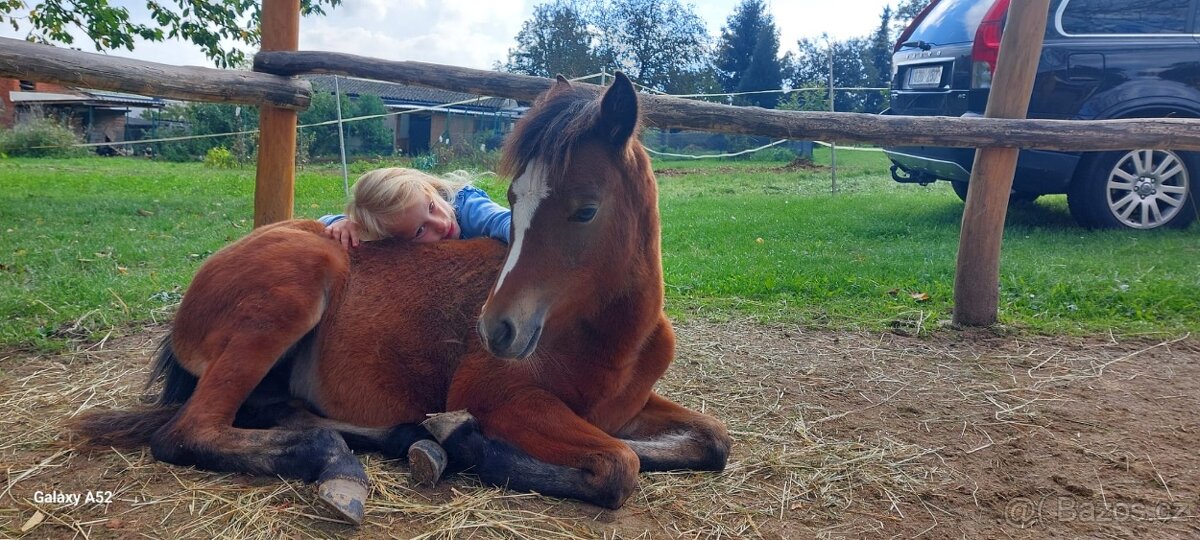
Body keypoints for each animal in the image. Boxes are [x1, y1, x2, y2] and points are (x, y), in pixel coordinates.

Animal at [72, 72, 732, 524]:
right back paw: (351, 463)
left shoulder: (622, 407)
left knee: (274, 413)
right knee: (187, 433)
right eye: (512, 200)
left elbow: (710, 442)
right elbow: (620, 466)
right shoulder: (502, 396)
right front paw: (469, 442)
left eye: (587, 209)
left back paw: (396, 439)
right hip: (292, 294)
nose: (496, 329)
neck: (613, 339)